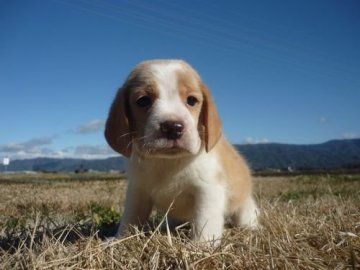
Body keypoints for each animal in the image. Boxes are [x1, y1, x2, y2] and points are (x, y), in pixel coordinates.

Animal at [104, 59, 258, 245]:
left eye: (191, 100)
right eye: (143, 101)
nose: (172, 127)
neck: (167, 162)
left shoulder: (208, 190)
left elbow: (204, 219)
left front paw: (201, 245)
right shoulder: (137, 191)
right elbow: (130, 218)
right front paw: (119, 239)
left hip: (244, 209)